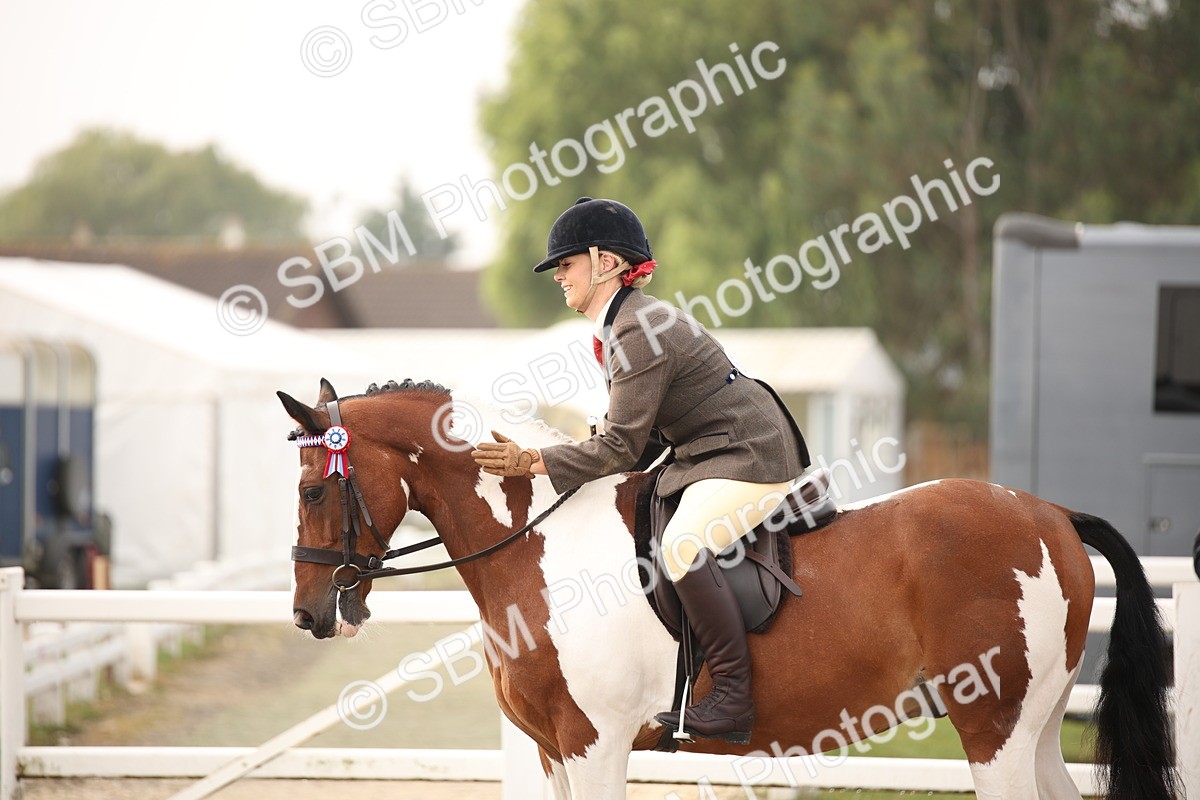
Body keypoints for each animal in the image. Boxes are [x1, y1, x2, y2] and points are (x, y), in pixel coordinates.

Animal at [278, 378, 1176, 800]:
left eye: (314, 490)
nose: (309, 614)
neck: (536, 543)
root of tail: (1050, 513)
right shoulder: (551, 750)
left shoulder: (595, 742)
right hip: (1038, 725)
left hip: (993, 727)